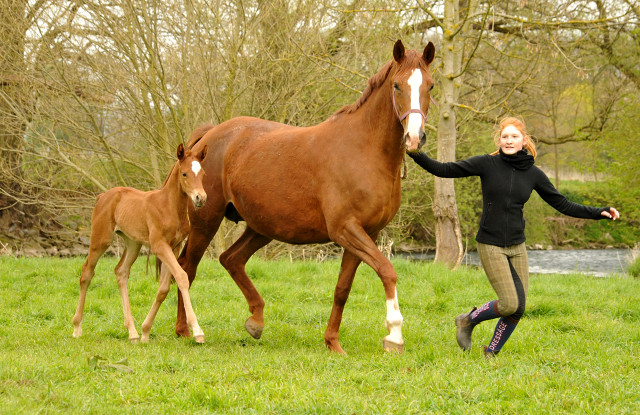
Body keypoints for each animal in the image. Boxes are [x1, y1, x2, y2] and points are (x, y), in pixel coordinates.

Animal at [73, 143, 209, 344]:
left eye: (203, 174)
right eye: (184, 174)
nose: (201, 198)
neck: (169, 207)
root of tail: (103, 196)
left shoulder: (174, 246)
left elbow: (164, 288)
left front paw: (145, 331)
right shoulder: (159, 246)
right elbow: (182, 277)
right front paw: (197, 331)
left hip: (133, 244)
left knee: (121, 272)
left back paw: (133, 333)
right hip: (101, 239)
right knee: (86, 273)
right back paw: (77, 328)